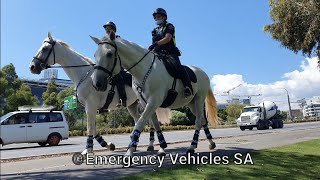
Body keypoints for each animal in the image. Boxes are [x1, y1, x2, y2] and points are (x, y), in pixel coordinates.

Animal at [29, 32, 170, 155]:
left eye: (45, 48)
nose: (32, 66)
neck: (84, 75)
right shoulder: (89, 108)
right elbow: (93, 128)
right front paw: (107, 145)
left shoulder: (91, 106)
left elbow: (90, 128)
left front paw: (88, 150)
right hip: (132, 105)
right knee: (139, 121)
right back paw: (135, 146)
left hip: (146, 102)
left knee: (149, 122)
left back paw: (150, 145)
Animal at [90, 31, 219, 157]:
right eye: (95, 55)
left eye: (109, 54)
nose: (97, 83)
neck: (144, 71)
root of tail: (203, 72)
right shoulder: (146, 102)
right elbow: (156, 124)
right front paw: (162, 147)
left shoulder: (153, 101)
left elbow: (140, 122)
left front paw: (129, 151)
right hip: (191, 103)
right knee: (202, 120)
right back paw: (211, 143)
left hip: (199, 99)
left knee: (198, 121)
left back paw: (192, 147)